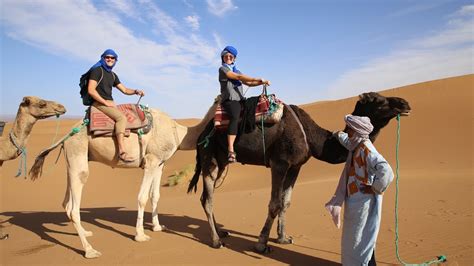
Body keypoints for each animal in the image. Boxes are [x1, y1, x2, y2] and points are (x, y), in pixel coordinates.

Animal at [30, 96, 219, 258]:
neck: (178, 133)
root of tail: (67, 135)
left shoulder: (160, 164)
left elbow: (155, 195)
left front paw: (158, 227)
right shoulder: (151, 161)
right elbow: (142, 198)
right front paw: (140, 235)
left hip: (73, 160)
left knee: (66, 201)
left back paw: (85, 232)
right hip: (78, 153)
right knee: (73, 205)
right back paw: (90, 251)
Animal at [187, 92, 410, 252]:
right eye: (378, 100)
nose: (404, 103)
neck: (311, 137)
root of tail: (202, 132)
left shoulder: (296, 166)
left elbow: (286, 202)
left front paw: (283, 238)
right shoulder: (279, 163)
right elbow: (274, 204)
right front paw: (261, 244)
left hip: (221, 161)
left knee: (207, 196)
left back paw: (221, 232)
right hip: (208, 157)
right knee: (207, 198)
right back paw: (216, 241)